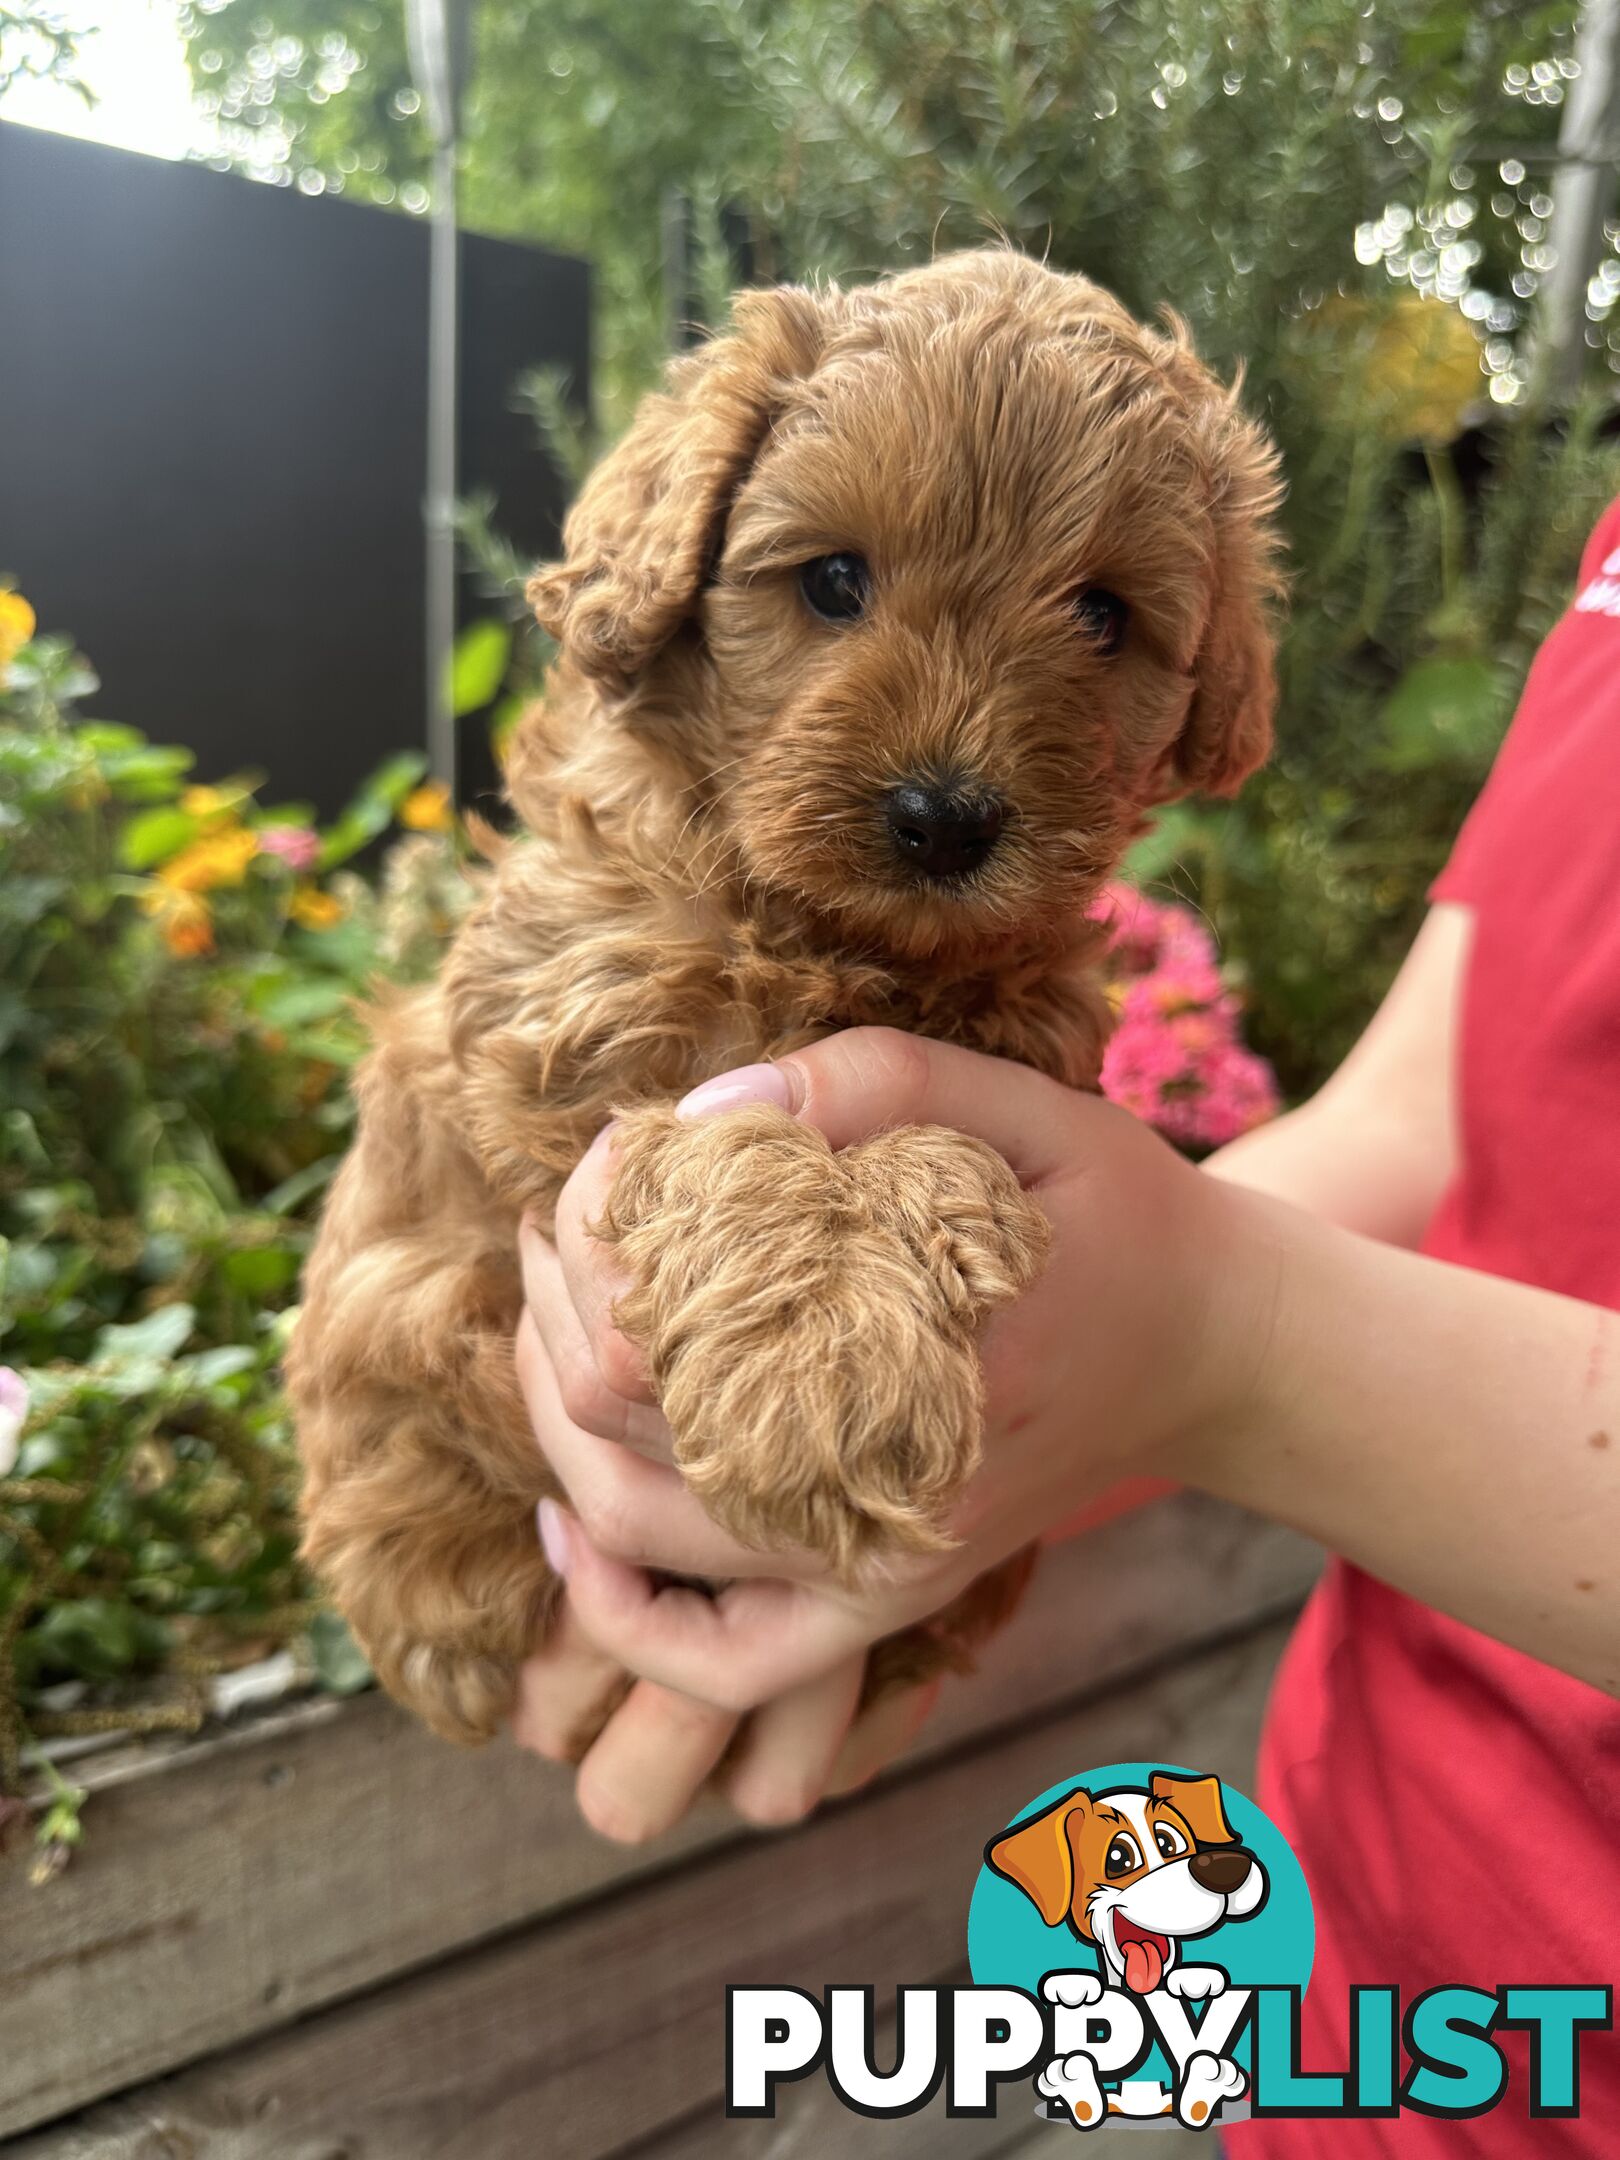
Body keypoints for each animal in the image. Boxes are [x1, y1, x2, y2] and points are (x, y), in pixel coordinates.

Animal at [289, 248, 1278, 1753]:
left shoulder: (1027, 1043)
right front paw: (828, 1358)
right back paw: (440, 1588)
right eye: (833, 581)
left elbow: (927, 1135)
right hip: (392, 1303)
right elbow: (735, 1141)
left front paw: (848, 1332)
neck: (820, 931)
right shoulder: (564, 1041)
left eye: (1105, 616)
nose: (944, 820)